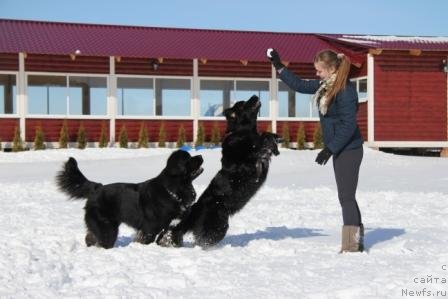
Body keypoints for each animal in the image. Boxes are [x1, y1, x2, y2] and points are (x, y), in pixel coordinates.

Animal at [56, 151, 203, 250]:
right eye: (188, 159)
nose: (201, 156)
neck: (172, 190)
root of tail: (97, 187)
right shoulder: (149, 228)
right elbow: (146, 240)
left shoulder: (174, 226)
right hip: (107, 227)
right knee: (103, 239)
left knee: (90, 237)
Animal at [159, 96, 280, 248]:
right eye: (243, 105)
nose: (255, 96)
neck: (241, 133)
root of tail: (195, 210)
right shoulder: (246, 163)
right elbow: (259, 143)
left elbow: (265, 137)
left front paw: (274, 141)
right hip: (218, 226)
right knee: (204, 240)